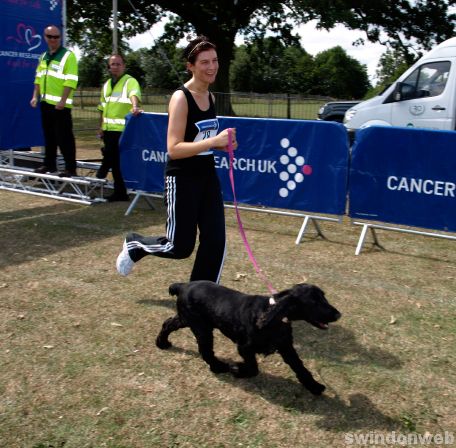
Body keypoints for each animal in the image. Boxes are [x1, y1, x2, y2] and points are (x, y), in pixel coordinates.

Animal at [157, 280, 342, 396]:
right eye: (314, 302)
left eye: (324, 297)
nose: (338, 314)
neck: (272, 315)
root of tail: (183, 285)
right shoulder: (244, 347)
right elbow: (253, 368)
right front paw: (237, 369)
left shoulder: (286, 347)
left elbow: (300, 368)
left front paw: (314, 387)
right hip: (200, 326)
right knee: (205, 350)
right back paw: (219, 367)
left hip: (188, 319)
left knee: (168, 323)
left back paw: (162, 343)